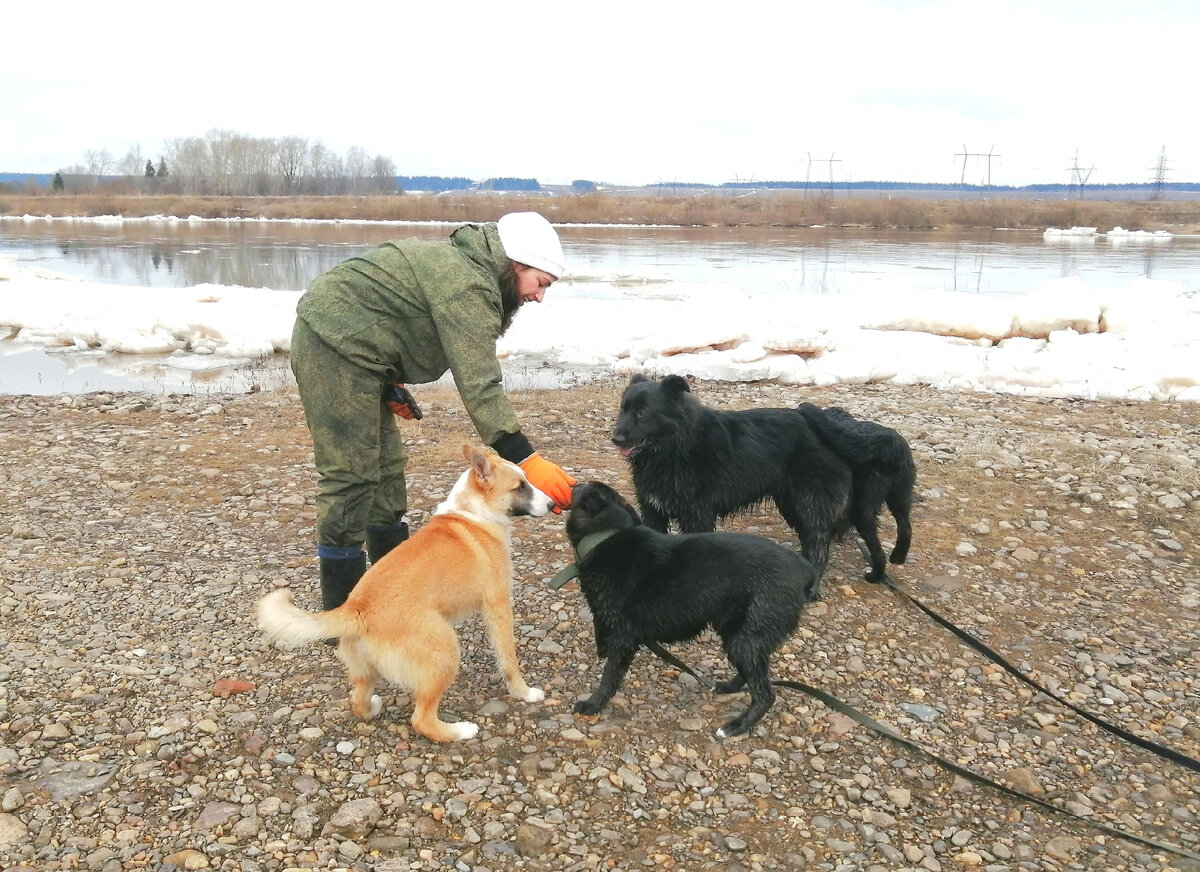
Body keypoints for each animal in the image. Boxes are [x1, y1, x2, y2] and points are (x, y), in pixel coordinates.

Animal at [256, 443, 552, 743]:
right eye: (520, 487)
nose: (552, 505)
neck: (472, 514)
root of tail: (357, 608)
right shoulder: (498, 605)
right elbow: (509, 660)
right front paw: (524, 692)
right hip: (446, 652)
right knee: (422, 719)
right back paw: (460, 731)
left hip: (365, 672)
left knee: (358, 702)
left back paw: (373, 707)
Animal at [564, 479, 816, 738]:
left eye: (584, 486)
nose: (576, 482)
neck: (606, 535)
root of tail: (805, 569)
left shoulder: (623, 637)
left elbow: (610, 675)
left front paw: (594, 704)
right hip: (736, 634)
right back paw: (726, 687)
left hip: (746, 638)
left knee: (765, 695)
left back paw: (735, 726)